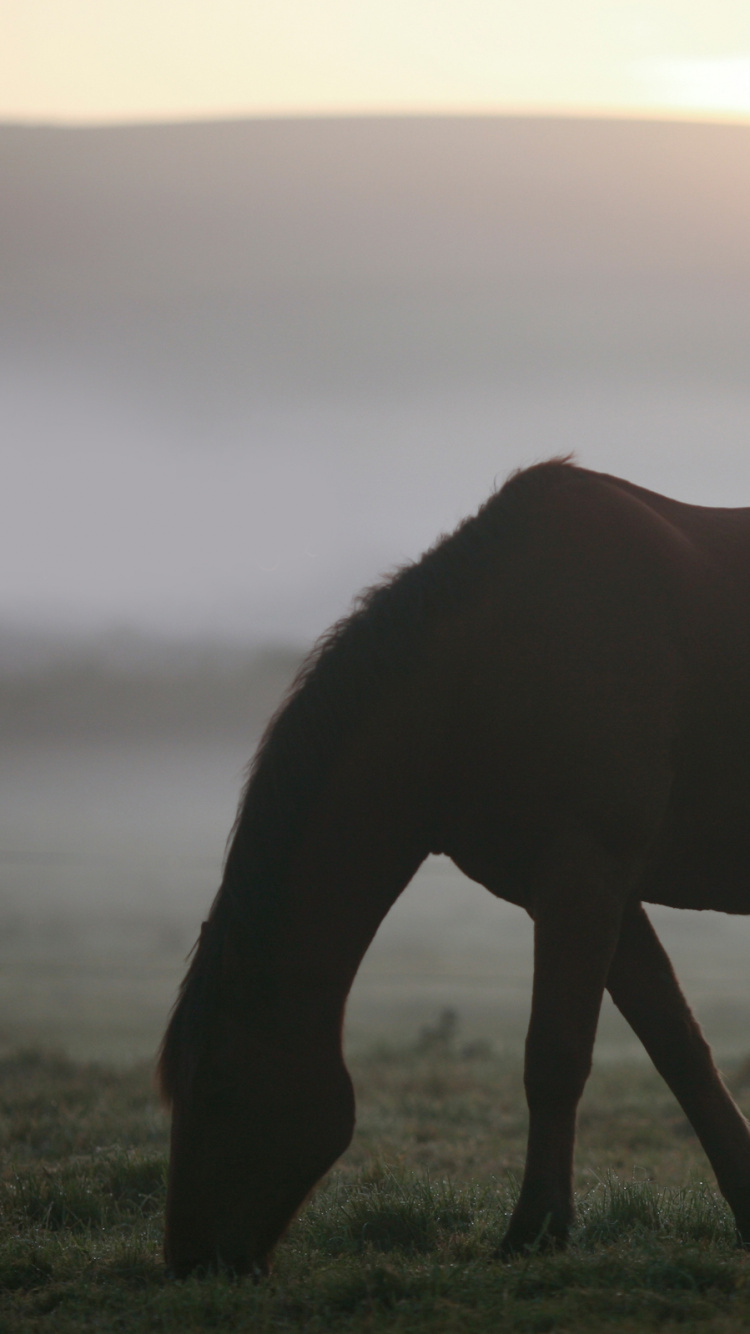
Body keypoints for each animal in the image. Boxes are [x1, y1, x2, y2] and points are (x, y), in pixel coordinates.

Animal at [159, 458, 750, 1276]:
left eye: (216, 1087)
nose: (188, 1261)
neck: (489, 664)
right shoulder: (594, 892)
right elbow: (680, 1050)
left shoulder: (585, 874)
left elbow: (554, 1058)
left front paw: (535, 1230)